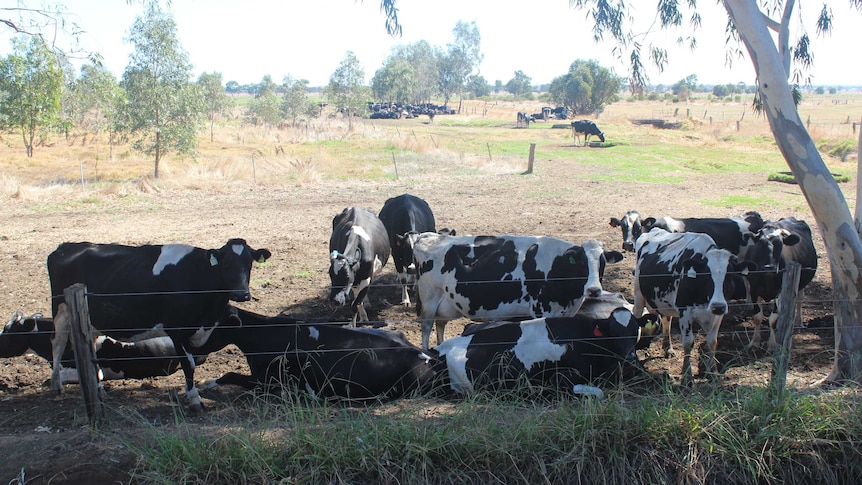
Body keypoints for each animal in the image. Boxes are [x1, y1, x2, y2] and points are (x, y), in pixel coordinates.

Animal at [47, 236, 270, 410]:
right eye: (226, 265)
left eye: (249, 264)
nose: (241, 294)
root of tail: (66, 246)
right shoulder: (177, 329)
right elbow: (188, 363)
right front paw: (194, 400)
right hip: (61, 310)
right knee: (57, 344)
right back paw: (56, 386)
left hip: (92, 319)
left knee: (90, 347)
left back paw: (99, 389)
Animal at [197, 306, 438, 400]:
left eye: (210, 326)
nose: (194, 355)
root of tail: (426, 357)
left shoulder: (266, 380)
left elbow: (230, 374)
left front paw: (205, 383)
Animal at [408, 233, 624, 350]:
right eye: (581, 263)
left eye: (602, 263)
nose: (594, 290)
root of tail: (428, 235)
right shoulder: (540, 309)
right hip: (429, 299)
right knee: (426, 327)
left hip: (446, 303)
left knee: (440, 324)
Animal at [432, 306, 660, 398]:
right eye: (612, 332)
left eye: (635, 330)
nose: (630, 358)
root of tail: (437, 349)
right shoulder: (560, 377)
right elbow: (598, 392)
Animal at [636, 227, 756, 382]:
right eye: (706, 276)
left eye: (729, 276)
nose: (718, 306)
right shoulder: (685, 312)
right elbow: (688, 342)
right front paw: (687, 376)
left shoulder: (717, 315)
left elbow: (712, 342)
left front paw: (713, 372)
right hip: (638, 296)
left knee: (667, 320)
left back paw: (668, 347)